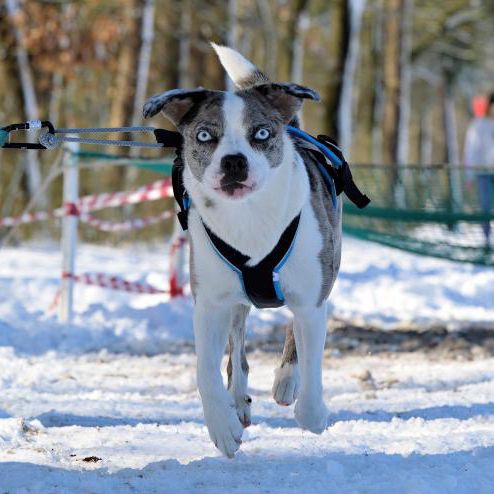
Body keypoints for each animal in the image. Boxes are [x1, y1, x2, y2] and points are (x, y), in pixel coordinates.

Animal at [145, 44, 342, 458]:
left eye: (262, 133)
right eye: (205, 135)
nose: (234, 161)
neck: (249, 219)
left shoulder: (312, 296)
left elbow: (310, 356)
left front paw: (312, 412)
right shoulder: (210, 301)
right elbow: (206, 370)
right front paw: (222, 426)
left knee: (292, 337)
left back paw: (285, 383)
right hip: (235, 301)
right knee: (236, 348)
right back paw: (237, 402)